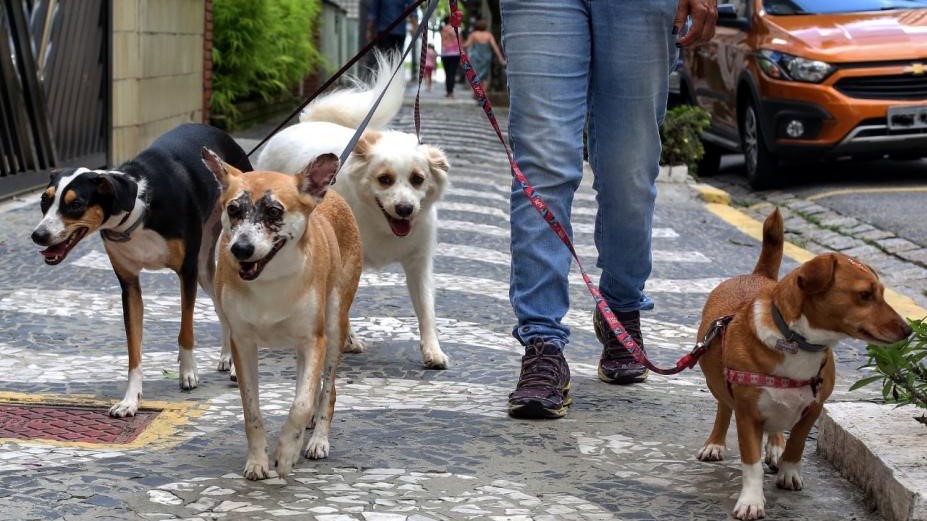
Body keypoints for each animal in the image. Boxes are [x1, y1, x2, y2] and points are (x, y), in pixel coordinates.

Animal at [30, 123, 252, 417]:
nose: (38, 235)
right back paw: (227, 356)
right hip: (206, 269)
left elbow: (186, 330)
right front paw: (130, 400)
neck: (138, 212)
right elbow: (133, 350)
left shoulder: (187, 272)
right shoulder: (129, 285)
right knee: (220, 306)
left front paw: (188, 373)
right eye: (44, 201)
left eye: (75, 204)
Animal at [202, 148, 362, 480]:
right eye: (233, 209)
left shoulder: (314, 340)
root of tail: (328, 193)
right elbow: (251, 409)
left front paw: (287, 452)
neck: (270, 280)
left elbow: (300, 404)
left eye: (274, 211)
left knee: (327, 390)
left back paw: (317, 440)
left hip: (334, 322)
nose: (241, 249)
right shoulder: (242, 342)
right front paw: (257, 461)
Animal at [255, 51, 451, 369]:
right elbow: (341, 306)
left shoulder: (419, 263)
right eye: (384, 179)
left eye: (418, 179)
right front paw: (345, 339)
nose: (405, 209)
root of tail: (302, 123)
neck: (381, 223)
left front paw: (433, 351)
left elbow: (426, 310)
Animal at [695, 208, 912, 520]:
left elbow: (796, 443)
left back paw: (775, 447)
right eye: (864, 295)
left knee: (776, 425)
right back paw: (715, 443)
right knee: (724, 408)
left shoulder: (814, 406)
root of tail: (757, 276)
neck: (798, 341)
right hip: (718, 386)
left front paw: (788, 471)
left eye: (881, 293)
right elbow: (751, 463)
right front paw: (751, 500)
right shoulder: (747, 414)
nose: (908, 331)